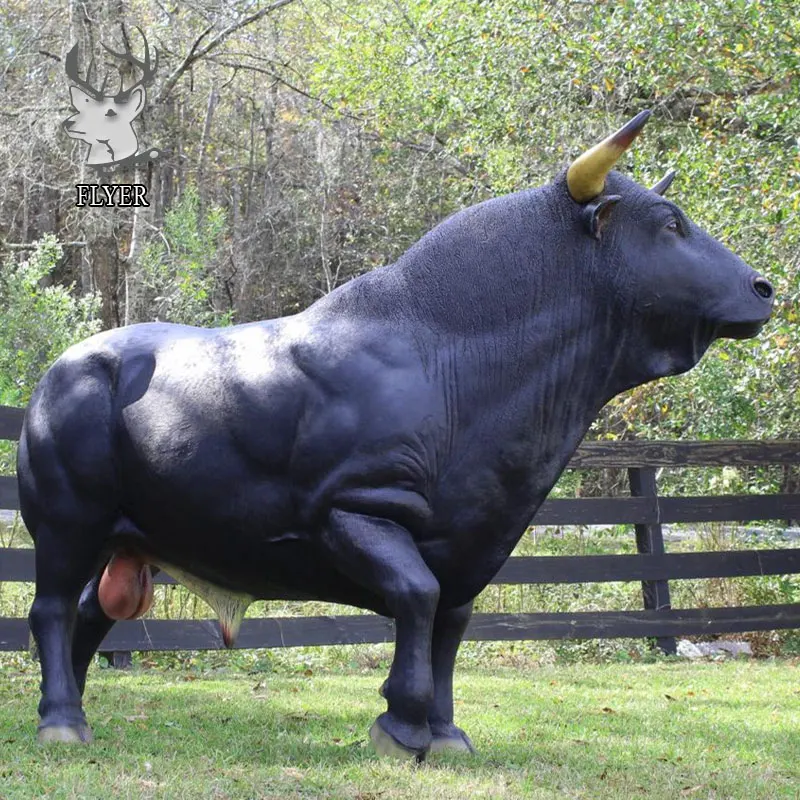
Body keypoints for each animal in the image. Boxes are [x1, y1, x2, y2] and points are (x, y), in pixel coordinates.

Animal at [18, 110, 774, 760]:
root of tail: (63, 368)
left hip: (131, 538)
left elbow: (451, 625)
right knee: (50, 610)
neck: (453, 362)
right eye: (671, 223)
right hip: (66, 521)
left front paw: (445, 731)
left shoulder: (476, 541)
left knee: (92, 611)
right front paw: (401, 722)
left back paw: (70, 709)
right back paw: (60, 720)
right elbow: (417, 598)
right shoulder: (355, 508)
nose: (764, 287)